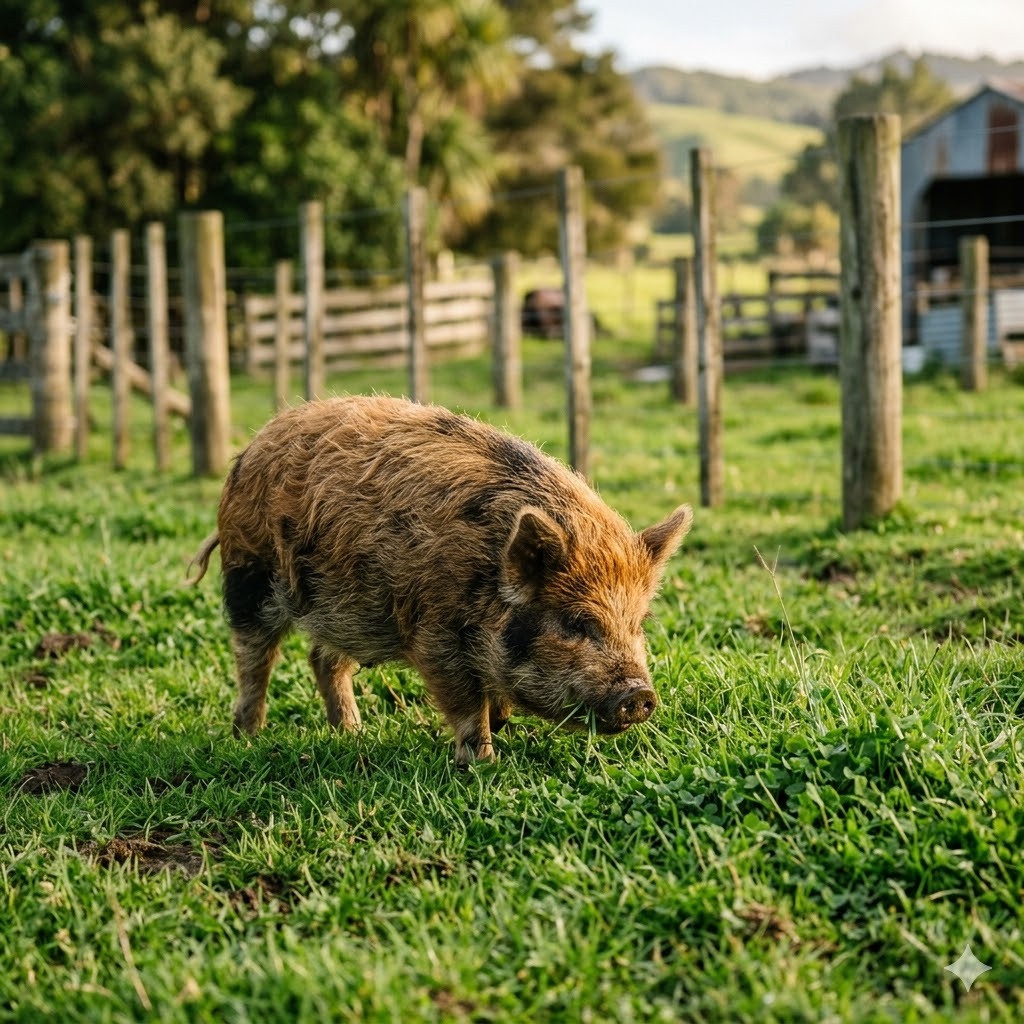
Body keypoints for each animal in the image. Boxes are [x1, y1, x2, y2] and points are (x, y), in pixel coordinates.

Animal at [188, 395, 692, 764]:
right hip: (248, 573)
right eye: (575, 623)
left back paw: (352, 734)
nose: (640, 694)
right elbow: (465, 703)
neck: (487, 575)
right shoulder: (434, 634)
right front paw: (483, 763)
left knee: (323, 658)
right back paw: (247, 736)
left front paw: (502, 722)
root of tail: (252, 446)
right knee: (254, 656)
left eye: (639, 624)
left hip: (343, 602)